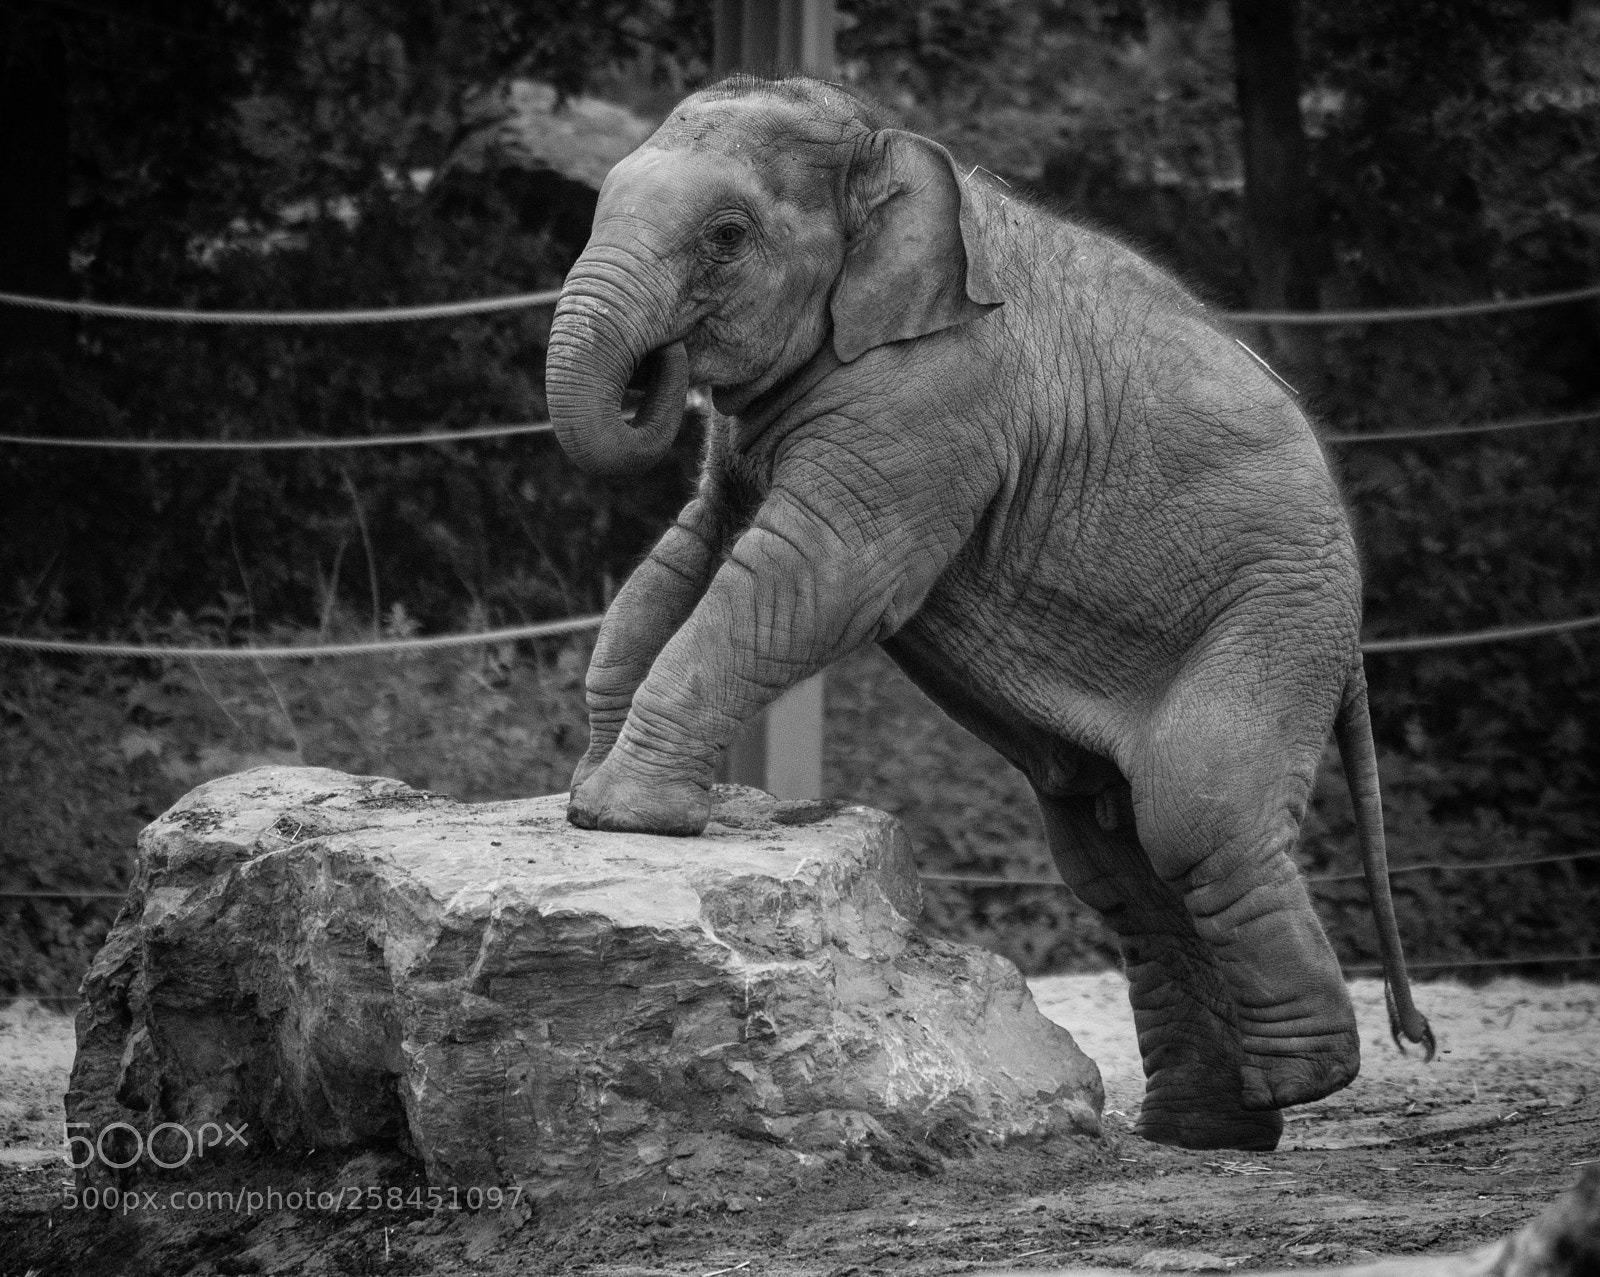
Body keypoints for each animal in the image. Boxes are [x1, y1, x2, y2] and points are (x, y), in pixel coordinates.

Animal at [543, 74, 1434, 1152]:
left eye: (726, 235)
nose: (661, 369)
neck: (883, 149)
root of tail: (1354, 636)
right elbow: (688, 550)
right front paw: (586, 796)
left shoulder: (933, 395)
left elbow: (818, 571)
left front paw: (627, 814)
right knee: (1116, 858)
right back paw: (1199, 1129)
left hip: (1275, 617)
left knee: (1196, 815)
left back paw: (1300, 1082)